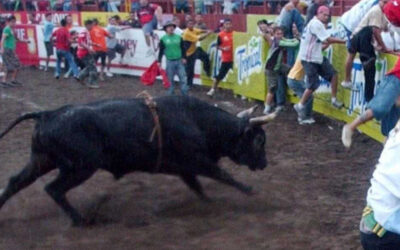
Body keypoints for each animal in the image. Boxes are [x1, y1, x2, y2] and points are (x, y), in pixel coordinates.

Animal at [0, 94, 274, 226]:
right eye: (259, 141)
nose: (264, 164)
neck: (196, 119)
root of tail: (48, 114)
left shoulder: (185, 168)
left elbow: (198, 187)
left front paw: (210, 202)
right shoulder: (197, 160)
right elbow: (224, 175)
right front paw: (252, 193)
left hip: (42, 160)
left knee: (15, 182)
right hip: (79, 168)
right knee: (53, 189)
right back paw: (82, 220)